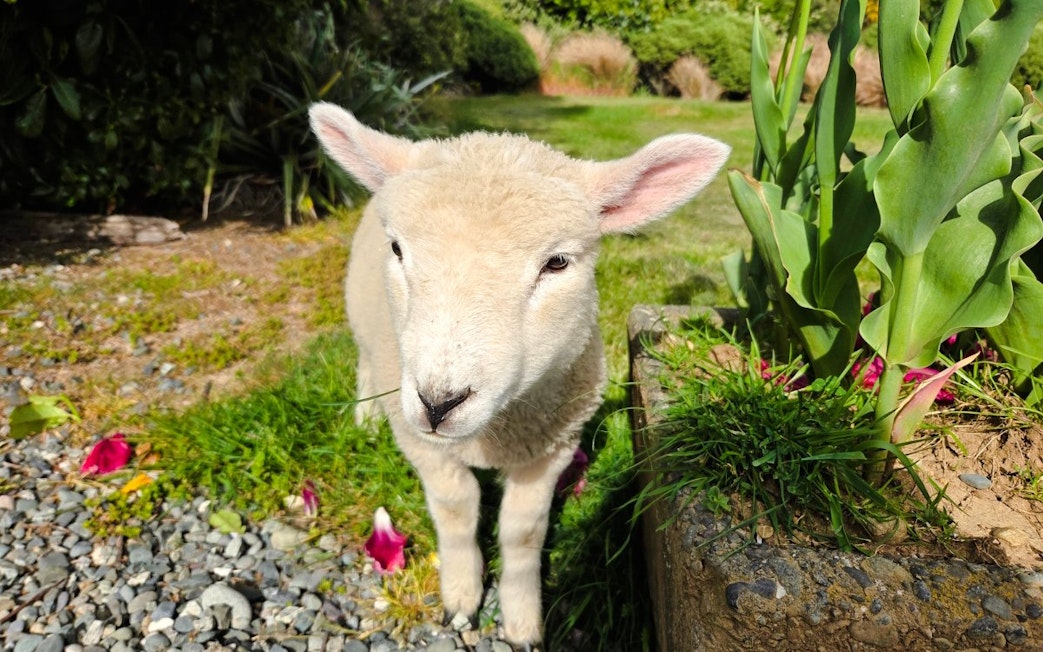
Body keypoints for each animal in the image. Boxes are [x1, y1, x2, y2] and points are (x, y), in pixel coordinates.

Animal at [308, 102, 729, 649]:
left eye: (557, 262)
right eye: (398, 249)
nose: (438, 403)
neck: (495, 435)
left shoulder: (551, 448)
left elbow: (522, 531)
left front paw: (522, 619)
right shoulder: (422, 443)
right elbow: (457, 510)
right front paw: (461, 597)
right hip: (364, 325)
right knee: (362, 361)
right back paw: (364, 419)